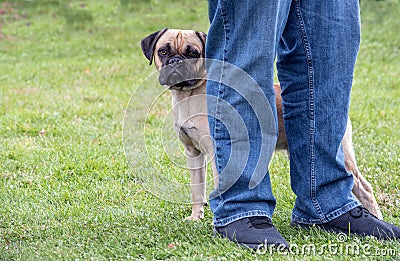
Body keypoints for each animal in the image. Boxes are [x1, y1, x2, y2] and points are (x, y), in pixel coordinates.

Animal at [141, 27, 384, 219]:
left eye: (193, 54)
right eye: (163, 51)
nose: (175, 62)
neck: (189, 94)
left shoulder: (219, 154)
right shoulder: (193, 154)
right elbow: (197, 191)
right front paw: (195, 217)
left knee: (364, 188)